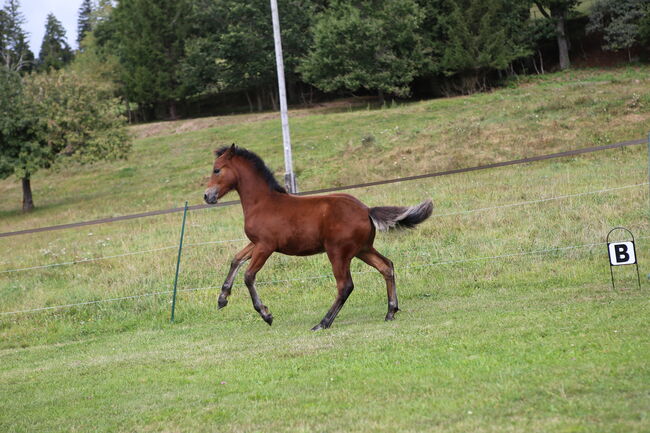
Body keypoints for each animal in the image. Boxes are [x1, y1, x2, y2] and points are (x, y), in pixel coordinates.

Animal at [202, 143, 432, 330]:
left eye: (217, 170)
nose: (207, 196)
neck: (262, 202)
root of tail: (366, 210)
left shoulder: (265, 246)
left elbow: (249, 276)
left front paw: (266, 314)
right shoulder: (256, 243)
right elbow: (236, 260)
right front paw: (222, 299)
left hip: (338, 253)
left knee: (345, 285)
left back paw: (323, 323)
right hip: (362, 250)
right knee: (386, 266)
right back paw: (390, 311)